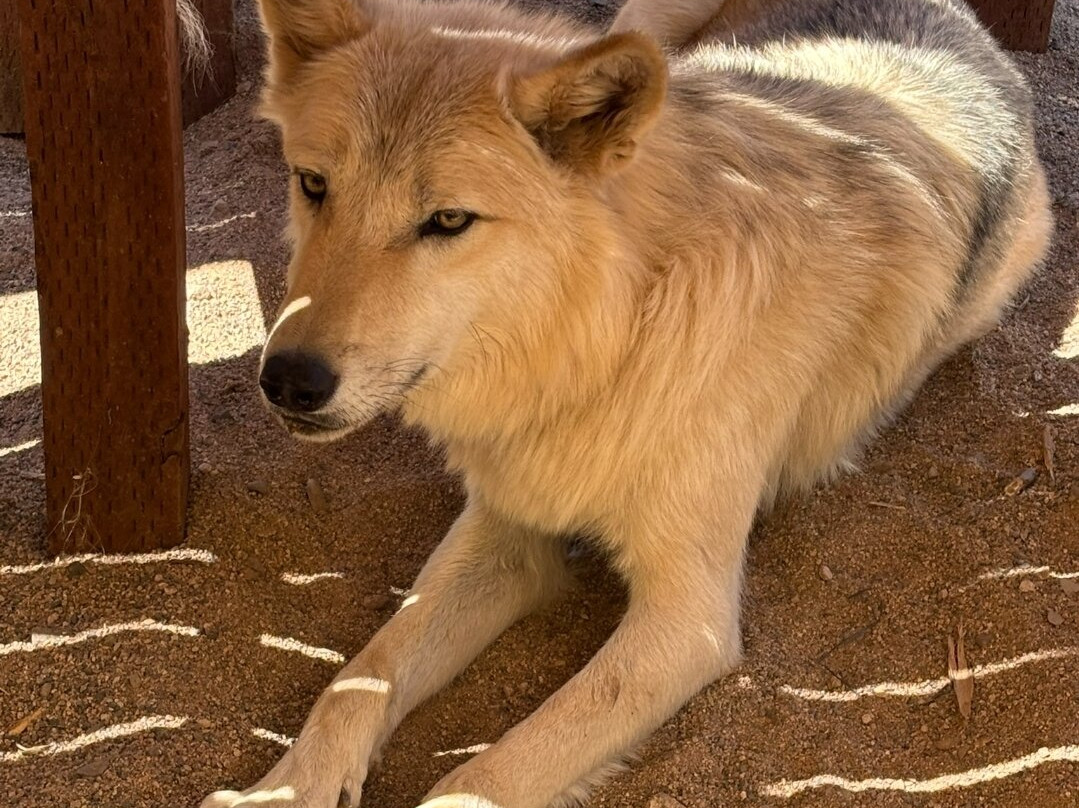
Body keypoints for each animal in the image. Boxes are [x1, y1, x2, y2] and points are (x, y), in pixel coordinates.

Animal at [202, 0, 1052, 805]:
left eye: (447, 221)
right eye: (314, 185)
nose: (288, 380)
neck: (606, 350)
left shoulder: (686, 622)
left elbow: (484, 775)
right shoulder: (505, 531)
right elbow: (356, 680)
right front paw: (279, 791)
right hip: (645, 31)